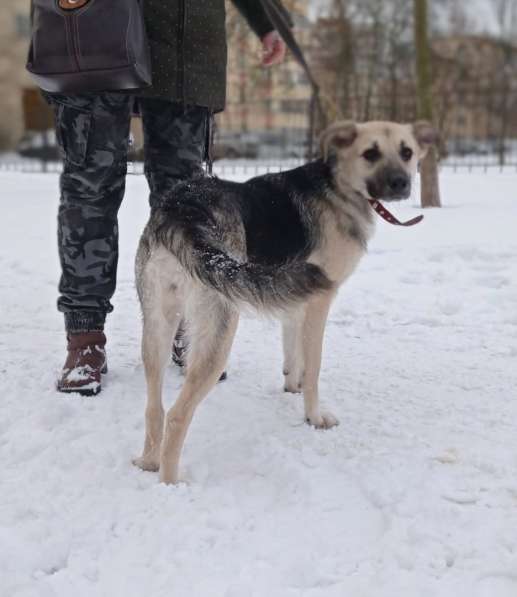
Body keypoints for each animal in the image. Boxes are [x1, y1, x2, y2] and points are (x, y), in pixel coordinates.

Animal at [132, 118, 436, 482]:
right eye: (370, 154)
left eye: (406, 152)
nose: (401, 183)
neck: (337, 186)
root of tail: (181, 211)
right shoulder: (319, 299)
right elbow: (314, 366)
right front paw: (313, 417)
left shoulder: (293, 301)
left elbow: (294, 352)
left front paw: (292, 385)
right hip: (219, 327)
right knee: (178, 414)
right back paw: (171, 483)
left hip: (158, 324)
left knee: (154, 407)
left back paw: (149, 462)